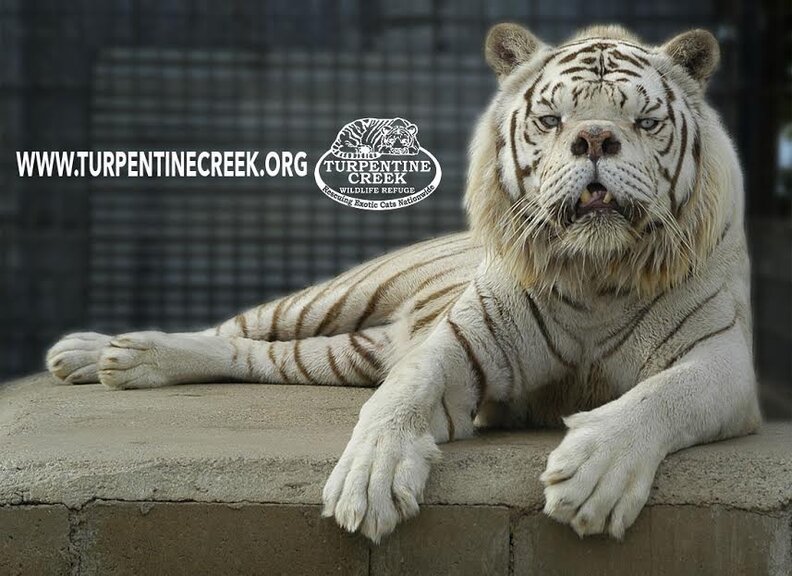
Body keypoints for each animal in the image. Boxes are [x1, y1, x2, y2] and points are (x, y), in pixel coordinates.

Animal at [46, 23, 761, 544]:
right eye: (552, 121)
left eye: (645, 122)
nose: (594, 139)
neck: (596, 274)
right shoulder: (462, 343)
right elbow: (399, 398)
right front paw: (368, 480)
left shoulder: (722, 362)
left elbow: (662, 397)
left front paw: (594, 473)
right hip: (334, 298)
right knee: (233, 328)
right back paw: (102, 352)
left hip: (344, 353)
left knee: (253, 355)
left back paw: (117, 360)